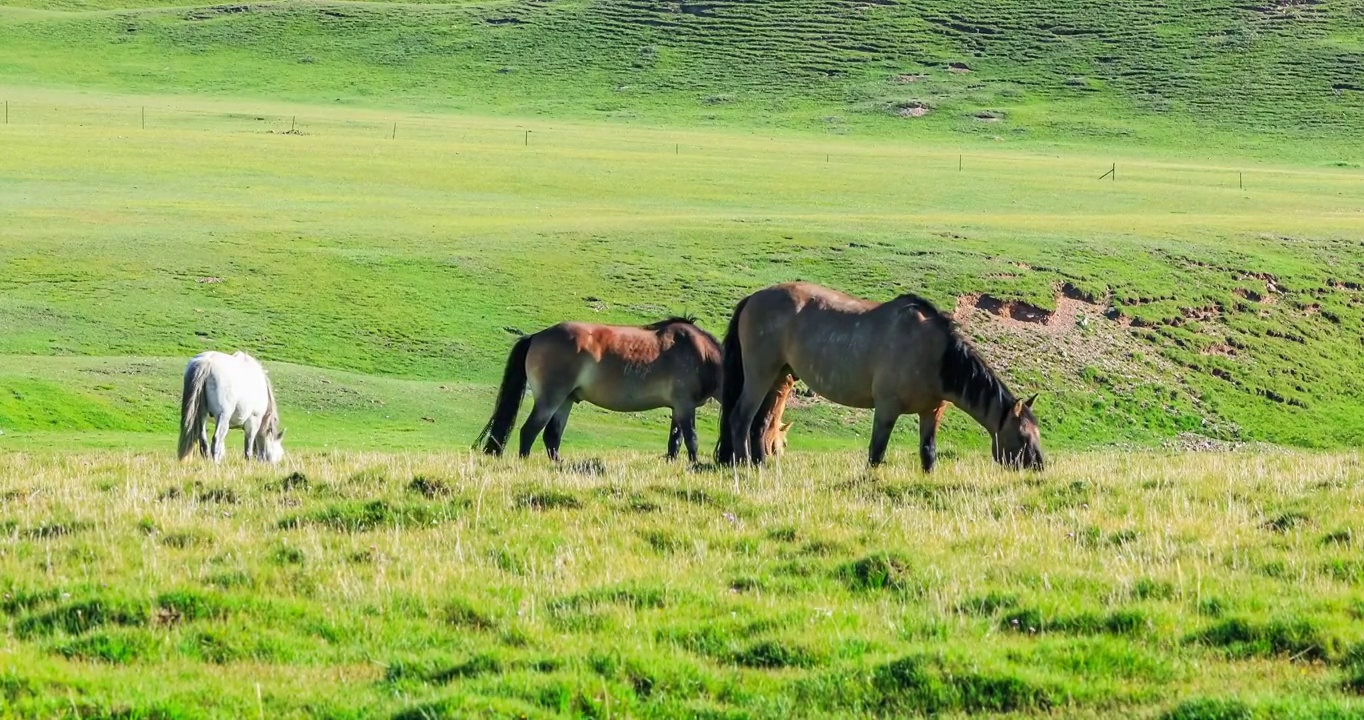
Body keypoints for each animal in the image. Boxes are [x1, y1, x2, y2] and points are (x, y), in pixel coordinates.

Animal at [474, 316, 725, 460]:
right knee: (530, 431)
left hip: (565, 400)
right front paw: (694, 466)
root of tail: (536, 337)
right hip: (550, 399)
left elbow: (675, 442)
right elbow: (691, 439)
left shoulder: (678, 408)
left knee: (551, 436)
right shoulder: (685, 404)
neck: (701, 354)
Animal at [714, 280, 1042, 471]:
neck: (932, 352)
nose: (1039, 467)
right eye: (1022, 436)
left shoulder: (931, 412)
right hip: (759, 373)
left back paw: (761, 465)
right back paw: (743, 464)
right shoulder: (886, 408)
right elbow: (876, 453)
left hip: (779, 376)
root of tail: (753, 298)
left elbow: (928, 453)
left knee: (762, 422)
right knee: (741, 417)